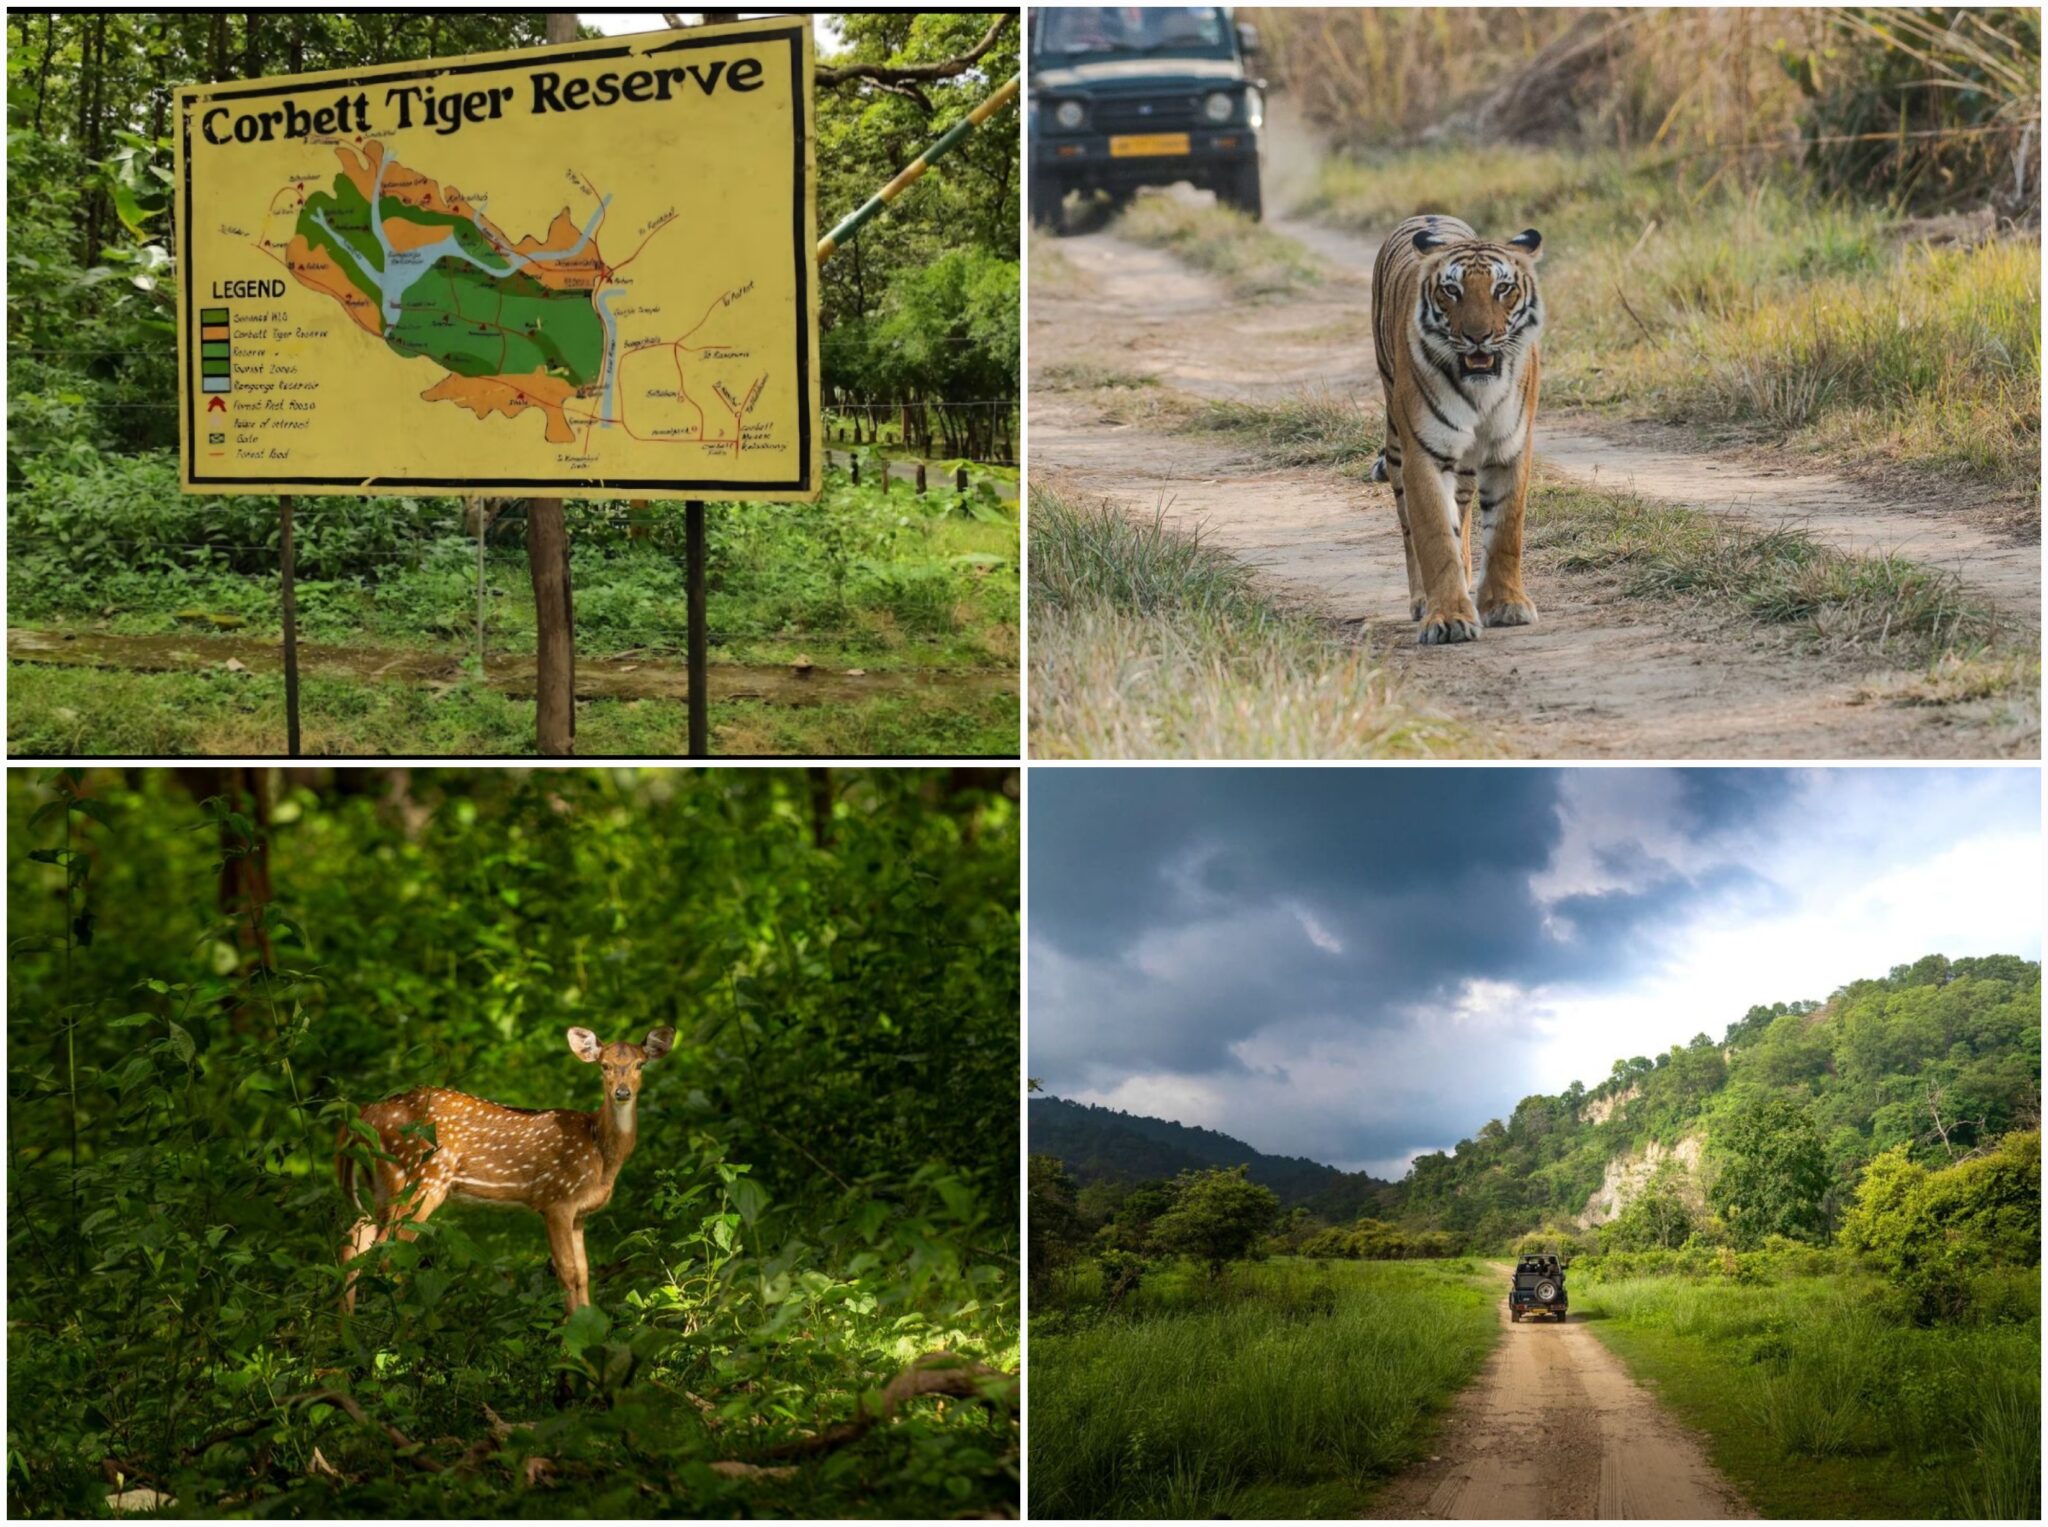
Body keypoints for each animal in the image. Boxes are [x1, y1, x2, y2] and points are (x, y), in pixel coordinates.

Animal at [339, 1023, 675, 1310]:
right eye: (604, 1065)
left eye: (640, 1065)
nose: (622, 1092)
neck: (600, 1154)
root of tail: (363, 1116)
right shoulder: (555, 1199)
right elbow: (566, 1271)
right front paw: (569, 1336)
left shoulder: (579, 1213)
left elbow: (583, 1272)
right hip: (420, 1179)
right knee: (388, 1253)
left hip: (381, 1185)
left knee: (356, 1240)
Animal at [1368, 215, 1540, 642]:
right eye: (1451, 291)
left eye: (1502, 289)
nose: (1478, 337)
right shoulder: (1424, 454)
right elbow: (1434, 536)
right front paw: (1447, 618)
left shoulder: (1511, 448)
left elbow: (1506, 531)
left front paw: (1507, 604)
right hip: (1397, 445)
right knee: (1409, 525)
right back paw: (1422, 600)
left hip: (1463, 469)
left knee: (1462, 515)